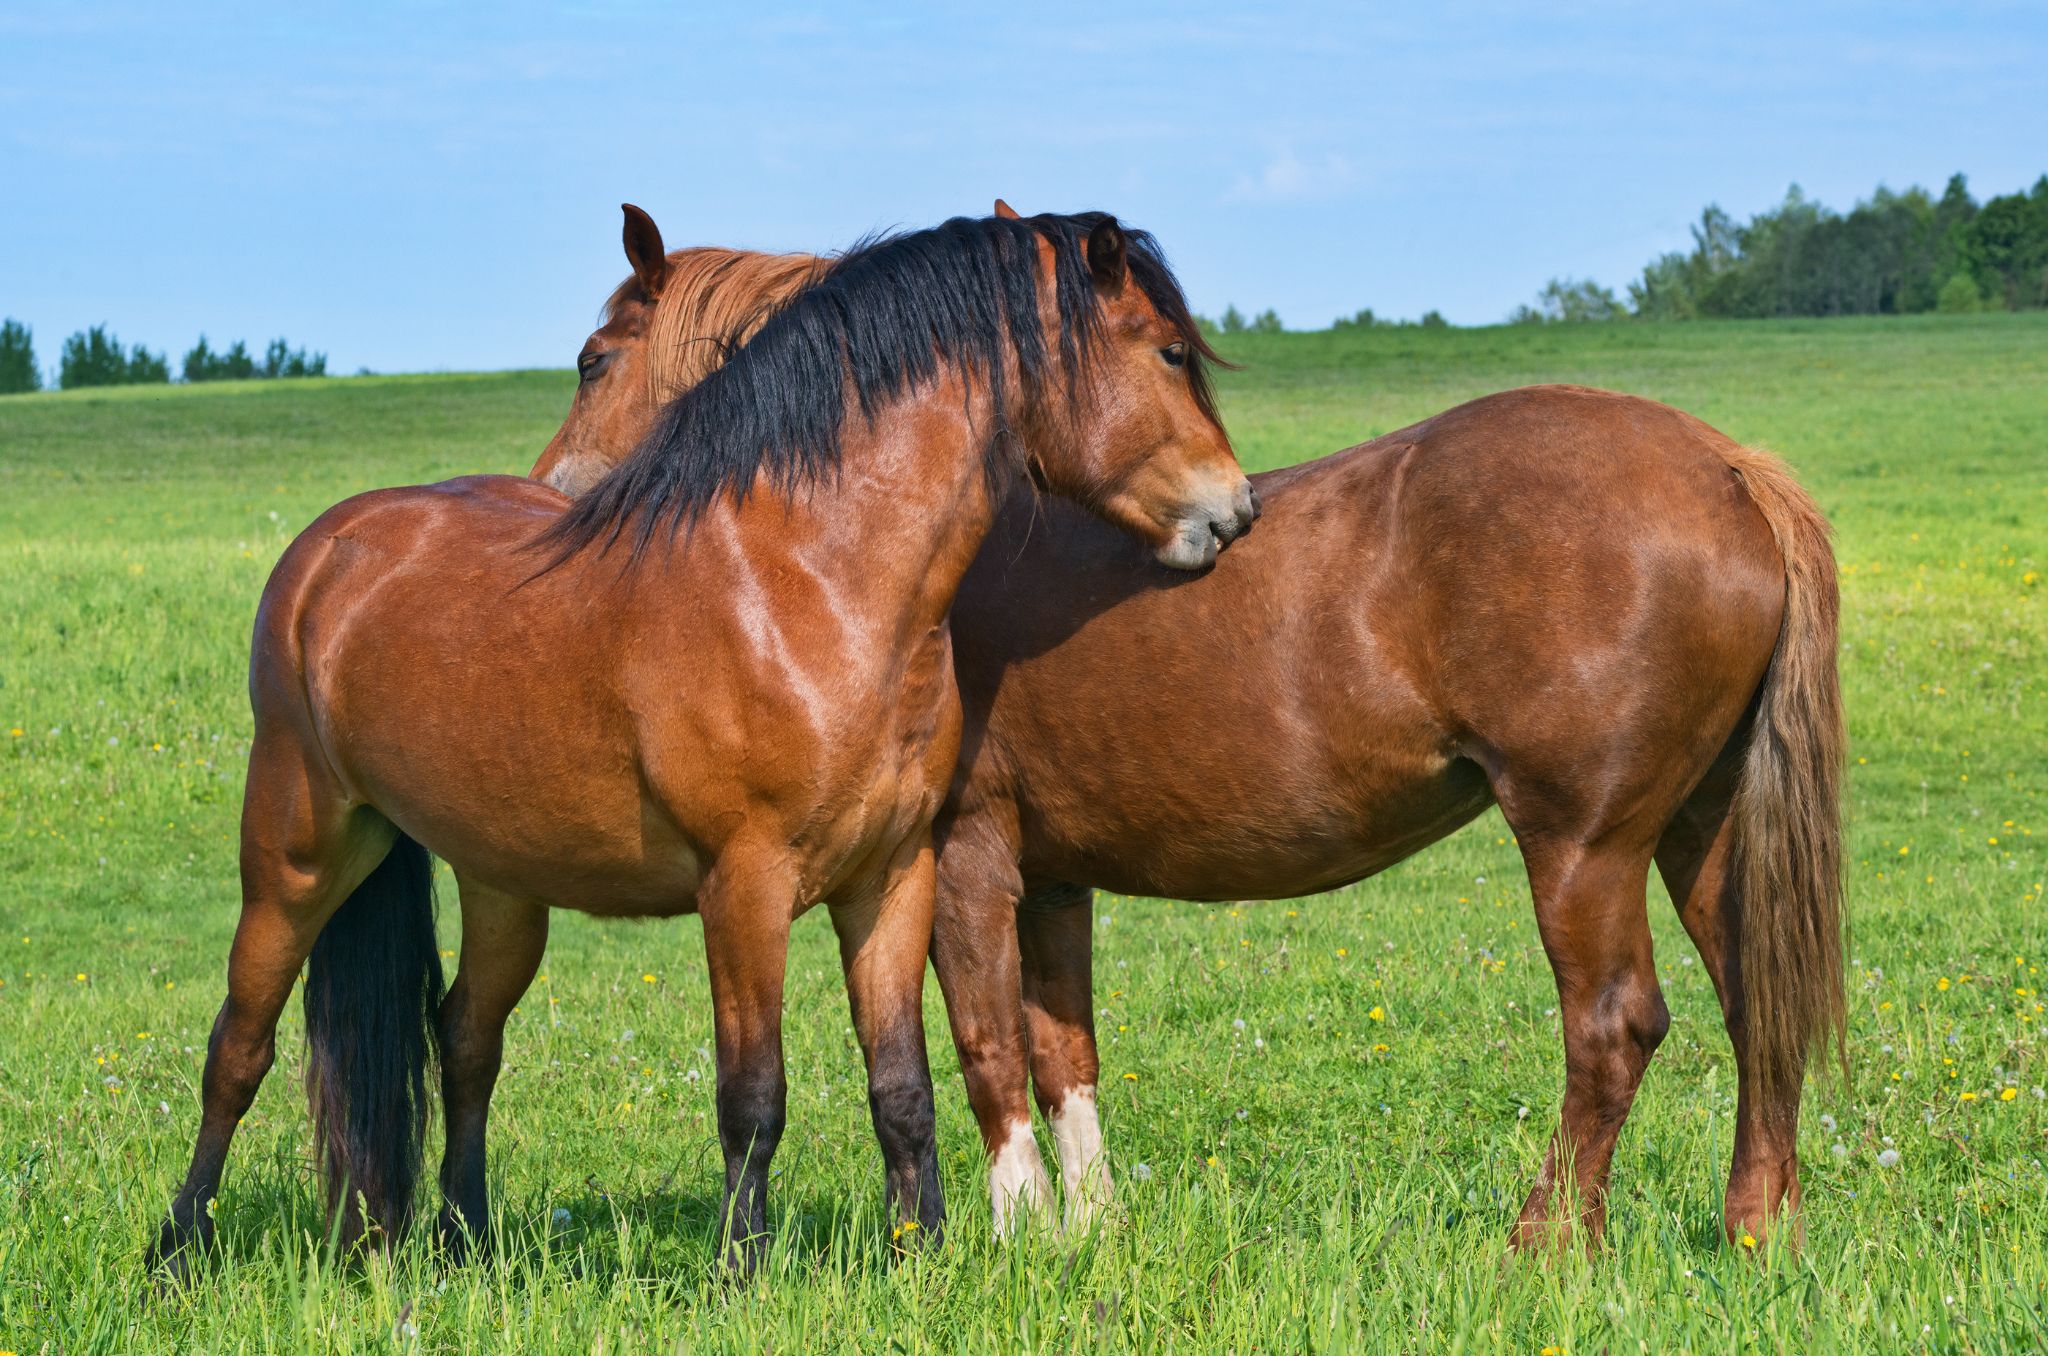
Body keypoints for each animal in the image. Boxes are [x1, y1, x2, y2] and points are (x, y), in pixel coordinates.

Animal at [149, 208, 1257, 1281]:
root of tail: (325, 551)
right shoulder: (744, 888)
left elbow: (900, 1086)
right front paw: (740, 1272)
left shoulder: (892, 877)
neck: (806, 577)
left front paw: (922, 1258)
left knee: (464, 1040)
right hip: (297, 854)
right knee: (238, 1049)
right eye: (1167, 351)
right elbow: (753, 1094)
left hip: (501, 881)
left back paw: (462, 1243)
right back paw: (178, 1250)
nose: (1236, 510)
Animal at [532, 203, 1846, 1253]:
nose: (554, 497)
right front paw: (1090, 1229)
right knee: (1752, 1002)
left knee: (1613, 1029)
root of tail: (1728, 466)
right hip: (1696, 827)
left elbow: (984, 1048)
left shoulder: (960, 857)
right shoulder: (1052, 880)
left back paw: (1543, 1242)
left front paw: (1014, 1232)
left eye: (596, 359)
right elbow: (1063, 1055)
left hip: (1581, 844)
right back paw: (1753, 1229)